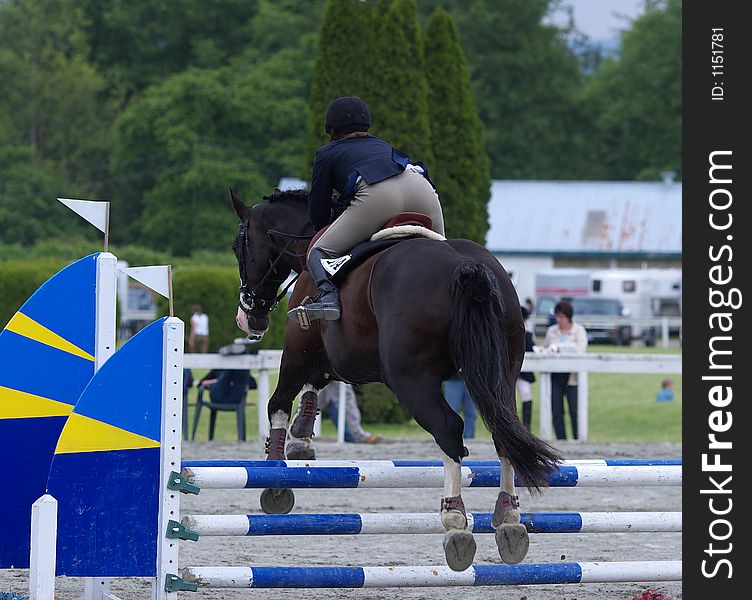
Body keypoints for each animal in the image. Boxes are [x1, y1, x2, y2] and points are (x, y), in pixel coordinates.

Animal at [232, 188, 560, 572]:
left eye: (238, 247)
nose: (250, 318)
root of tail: (467, 268)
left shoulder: (302, 345)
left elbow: (280, 402)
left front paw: (276, 477)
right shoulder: (346, 358)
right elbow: (318, 382)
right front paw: (301, 440)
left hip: (409, 378)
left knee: (450, 429)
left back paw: (456, 525)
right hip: (501, 372)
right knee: (503, 428)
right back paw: (509, 519)